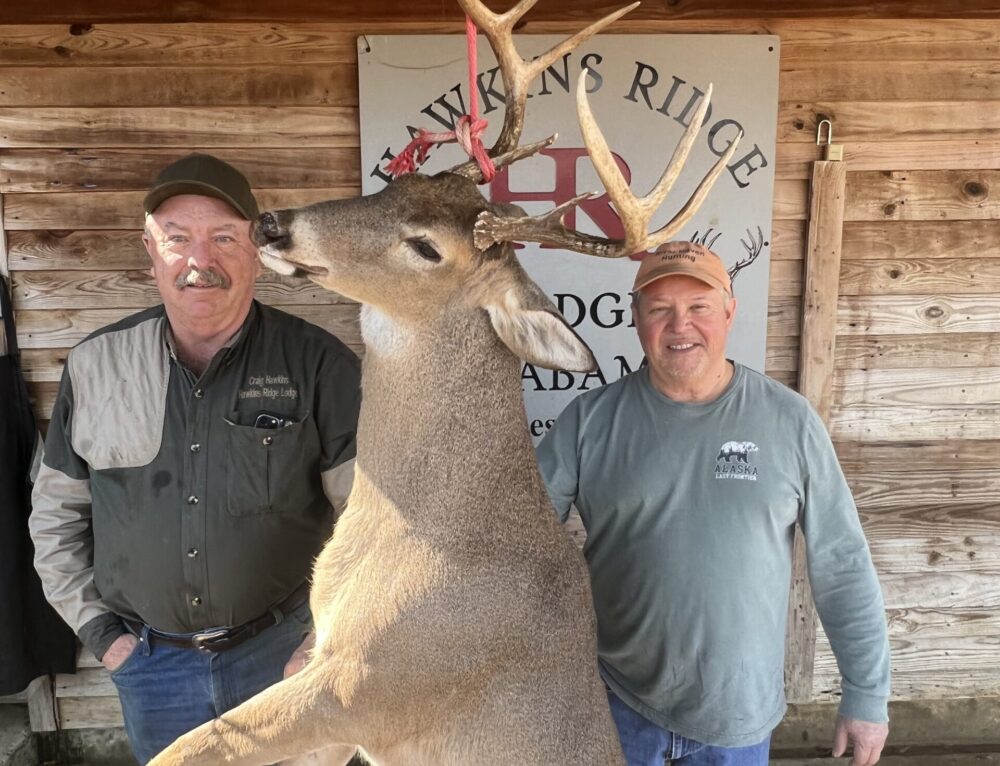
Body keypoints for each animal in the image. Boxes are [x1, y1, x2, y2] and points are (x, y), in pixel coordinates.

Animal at [148, 1, 741, 764]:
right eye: (397, 183)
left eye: (428, 247)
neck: (412, 532)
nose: (273, 223)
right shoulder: (330, 671)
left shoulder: (364, 685)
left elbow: (185, 745)